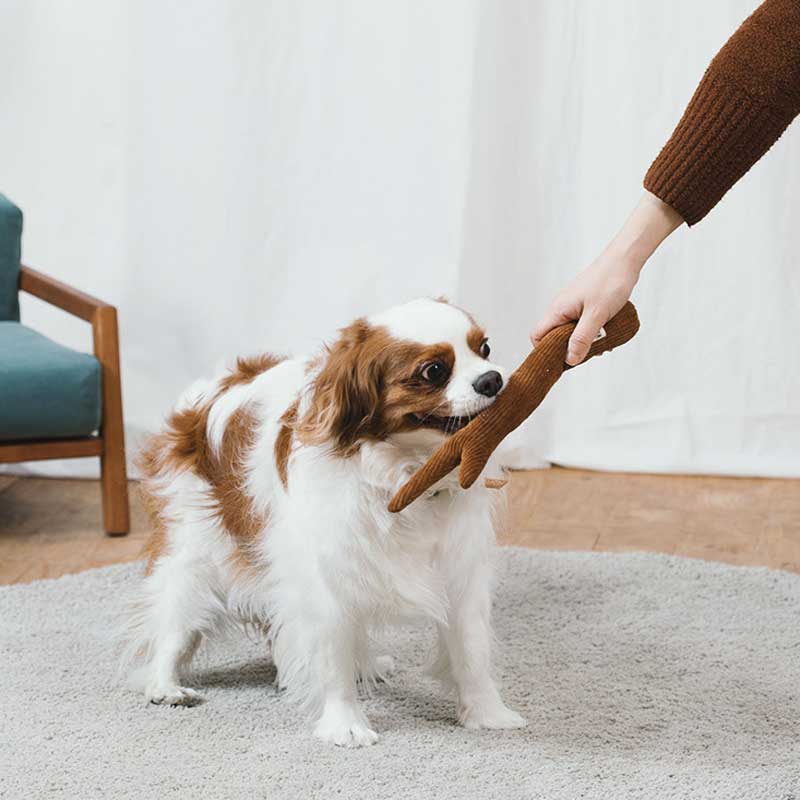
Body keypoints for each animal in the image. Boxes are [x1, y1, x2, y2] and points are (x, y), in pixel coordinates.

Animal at [123, 296, 524, 748]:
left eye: (484, 348)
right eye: (434, 371)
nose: (493, 379)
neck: (405, 476)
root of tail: (206, 394)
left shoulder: (458, 570)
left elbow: (471, 650)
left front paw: (487, 714)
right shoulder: (324, 579)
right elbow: (331, 656)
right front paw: (344, 724)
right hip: (193, 557)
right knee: (173, 622)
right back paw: (164, 685)